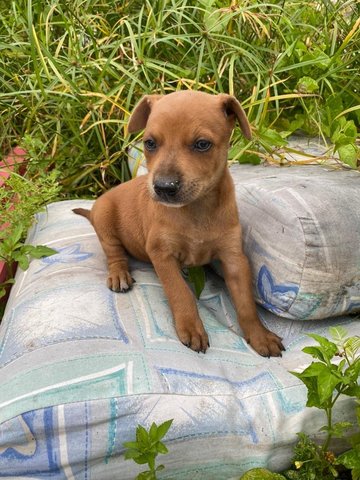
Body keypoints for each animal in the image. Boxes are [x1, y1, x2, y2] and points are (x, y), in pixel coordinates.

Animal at [74, 92, 286, 358]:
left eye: (202, 144)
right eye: (150, 143)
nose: (164, 187)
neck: (196, 209)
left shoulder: (234, 257)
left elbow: (246, 302)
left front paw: (259, 335)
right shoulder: (161, 253)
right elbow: (180, 292)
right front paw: (191, 328)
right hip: (104, 218)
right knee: (114, 252)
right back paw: (119, 274)